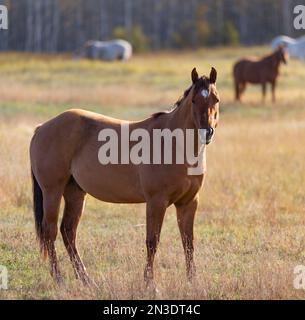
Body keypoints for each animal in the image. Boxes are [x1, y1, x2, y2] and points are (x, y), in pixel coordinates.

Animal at [30, 67, 218, 290]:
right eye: (194, 101)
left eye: (216, 99)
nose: (207, 132)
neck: (174, 144)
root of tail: (42, 127)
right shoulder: (156, 201)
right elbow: (152, 241)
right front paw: (150, 284)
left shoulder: (188, 203)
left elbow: (188, 242)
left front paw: (192, 281)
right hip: (52, 191)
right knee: (50, 232)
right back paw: (59, 279)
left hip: (75, 193)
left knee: (68, 231)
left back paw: (86, 280)